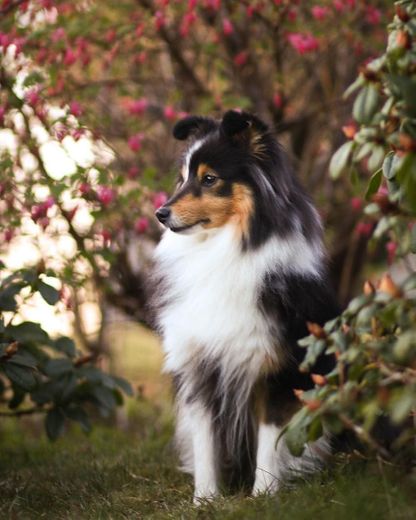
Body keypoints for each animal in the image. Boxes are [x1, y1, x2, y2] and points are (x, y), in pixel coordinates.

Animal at [151, 110, 340, 504]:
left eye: (209, 179)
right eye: (183, 177)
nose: (160, 213)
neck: (223, 250)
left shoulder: (277, 369)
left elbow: (270, 437)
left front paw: (264, 495)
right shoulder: (200, 368)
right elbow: (205, 442)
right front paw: (204, 499)